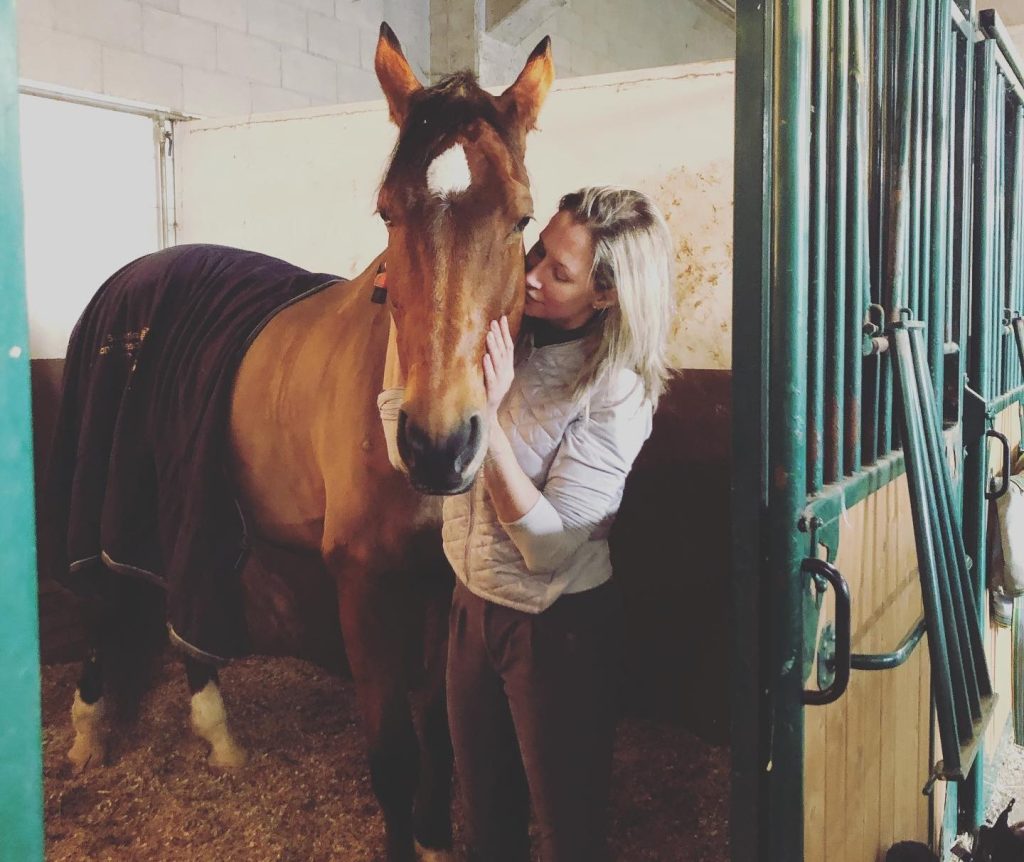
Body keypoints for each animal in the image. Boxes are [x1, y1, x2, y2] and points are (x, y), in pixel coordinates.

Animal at [51, 24, 554, 862]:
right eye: (386, 213)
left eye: (520, 218)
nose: (438, 445)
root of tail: (134, 272)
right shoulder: (363, 586)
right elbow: (393, 753)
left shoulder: (436, 588)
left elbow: (437, 737)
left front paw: (433, 839)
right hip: (117, 497)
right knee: (114, 603)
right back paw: (89, 735)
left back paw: (218, 738)